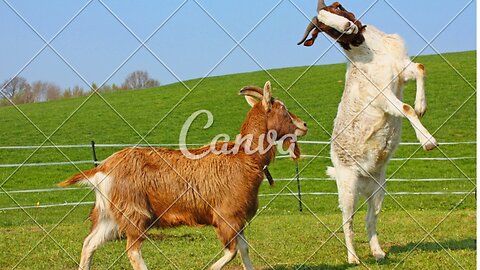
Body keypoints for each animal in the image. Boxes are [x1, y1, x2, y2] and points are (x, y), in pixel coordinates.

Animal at [59, 80, 308, 270]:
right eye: (283, 108)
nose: (304, 124)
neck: (244, 157)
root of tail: (102, 168)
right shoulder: (226, 215)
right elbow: (232, 252)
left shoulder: (239, 218)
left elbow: (244, 250)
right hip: (134, 213)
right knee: (132, 251)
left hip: (109, 215)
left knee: (89, 243)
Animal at [298, 1, 440, 264]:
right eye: (324, 28)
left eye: (336, 8)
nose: (347, 26)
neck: (369, 49)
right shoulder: (382, 96)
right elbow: (405, 109)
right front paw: (428, 141)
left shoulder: (402, 69)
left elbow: (420, 68)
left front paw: (422, 106)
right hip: (347, 188)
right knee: (347, 222)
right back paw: (353, 258)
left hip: (379, 187)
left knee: (370, 218)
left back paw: (378, 252)